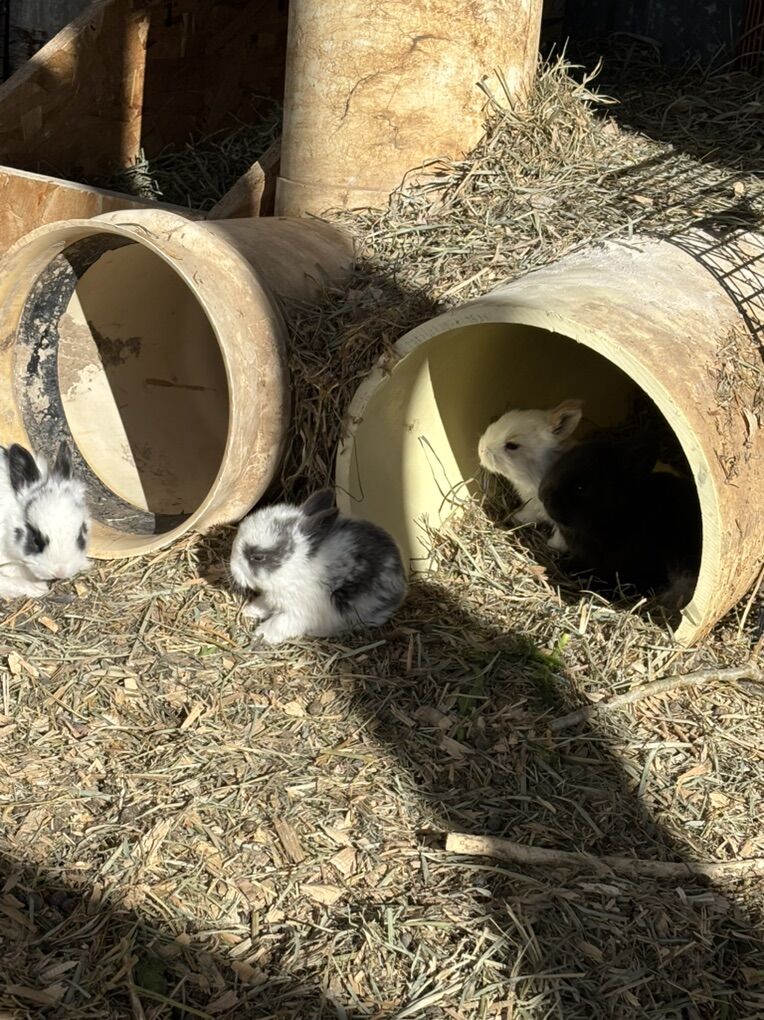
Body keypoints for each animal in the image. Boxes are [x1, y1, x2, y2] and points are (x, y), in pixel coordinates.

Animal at [230, 489, 407, 645]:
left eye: (258, 557)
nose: (233, 568)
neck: (293, 567)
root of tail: (403, 583)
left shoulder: (298, 613)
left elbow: (279, 623)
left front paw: (260, 634)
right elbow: (265, 604)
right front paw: (250, 610)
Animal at [478, 398, 583, 550]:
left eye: (512, 445)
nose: (481, 449)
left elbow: (560, 537)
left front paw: (553, 545)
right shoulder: (532, 505)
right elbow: (529, 515)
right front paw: (516, 517)